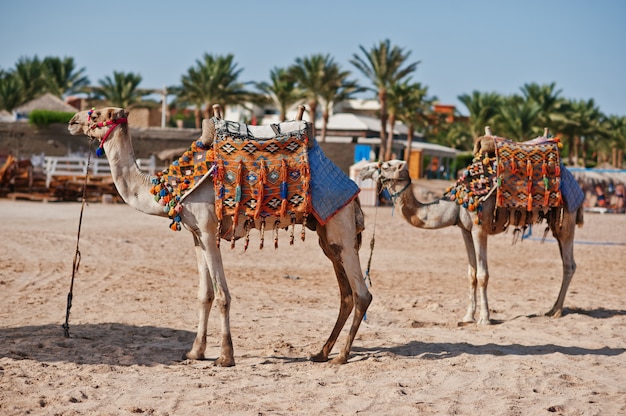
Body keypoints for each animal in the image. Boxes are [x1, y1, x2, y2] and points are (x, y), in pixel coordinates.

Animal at [68, 106, 370, 364]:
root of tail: (353, 188)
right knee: (345, 293)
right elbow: (205, 294)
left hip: (341, 227)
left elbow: (223, 295)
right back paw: (321, 352)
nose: (72, 120)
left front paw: (225, 356)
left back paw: (342, 356)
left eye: (99, 113)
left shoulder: (208, 230)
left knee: (361, 294)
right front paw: (195, 352)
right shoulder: (196, 235)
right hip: (326, 237)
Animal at [358, 151, 584, 324]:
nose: (363, 170)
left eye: (387, 164)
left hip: (567, 218)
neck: (457, 204)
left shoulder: (479, 230)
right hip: (556, 224)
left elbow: (483, 275)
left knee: (570, 264)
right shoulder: (465, 230)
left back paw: (556, 311)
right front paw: (467, 316)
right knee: (566, 262)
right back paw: (552, 309)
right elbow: (472, 274)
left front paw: (485, 318)